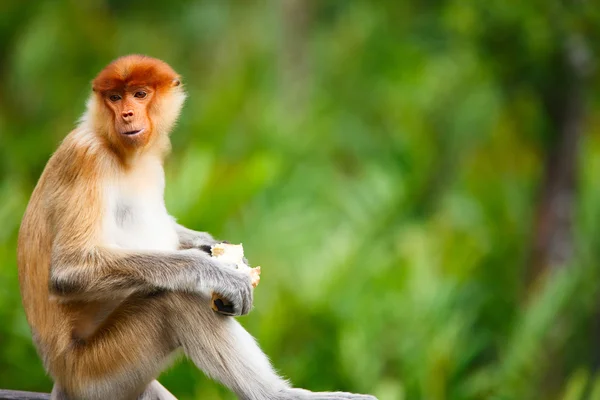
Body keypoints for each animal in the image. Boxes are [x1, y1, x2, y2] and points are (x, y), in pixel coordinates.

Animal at [17, 55, 376, 400]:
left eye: (140, 94)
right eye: (115, 97)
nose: (127, 114)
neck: (118, 149)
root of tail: (62, 378)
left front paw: (214, 248)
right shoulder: (86, 157)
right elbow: (70, 269)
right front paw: (218, 272)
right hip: (95, 373)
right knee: (175, 301)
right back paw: (279, 394)